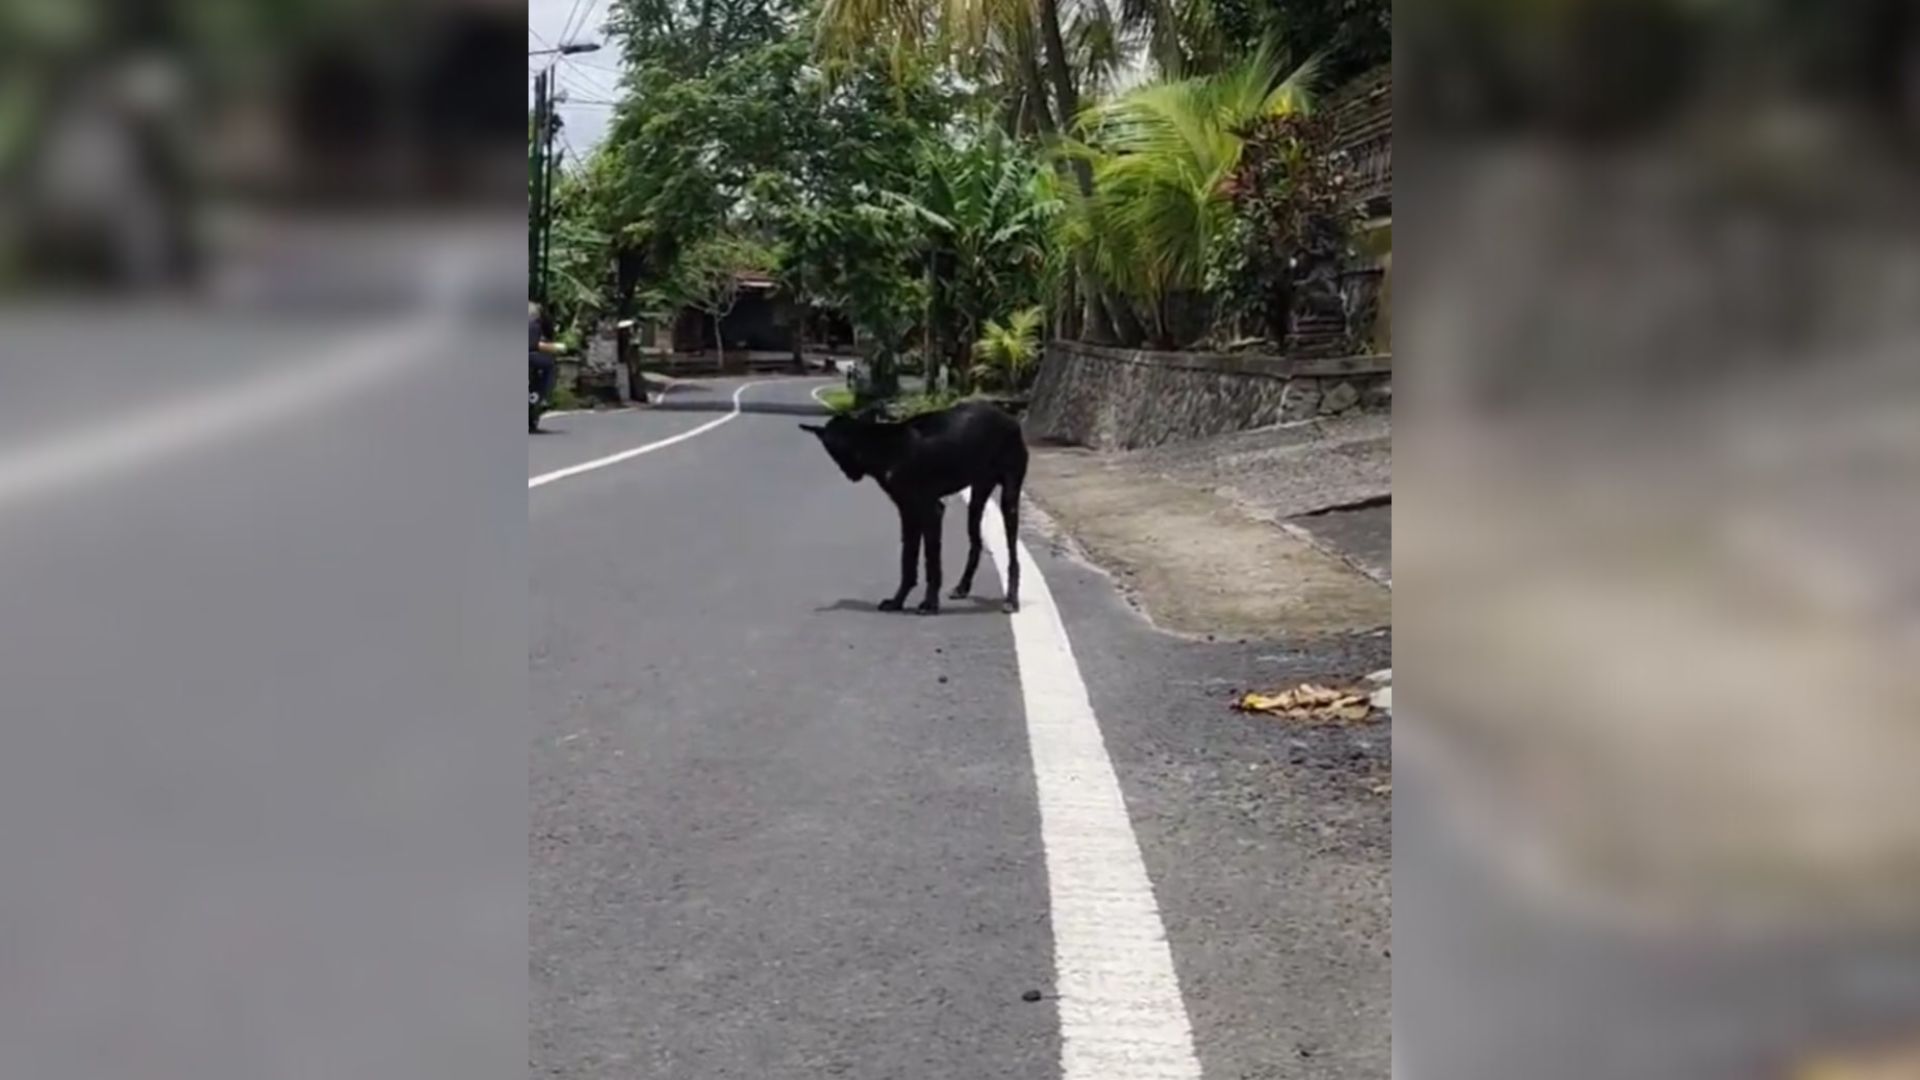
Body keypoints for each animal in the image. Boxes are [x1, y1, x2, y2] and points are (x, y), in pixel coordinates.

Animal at [798, 399, 1029, 611]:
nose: (850, 475)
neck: (880, 447)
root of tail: (1010, 418)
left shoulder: (930, 510)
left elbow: (931, 562)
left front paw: (929, 603)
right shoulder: (908, 512)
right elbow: (908, 561)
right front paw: (897, 601)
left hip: (1009, 499)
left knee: (1013, 557)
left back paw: (1011, 599)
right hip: (977, 498)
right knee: (975, 543)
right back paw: (962, 587)